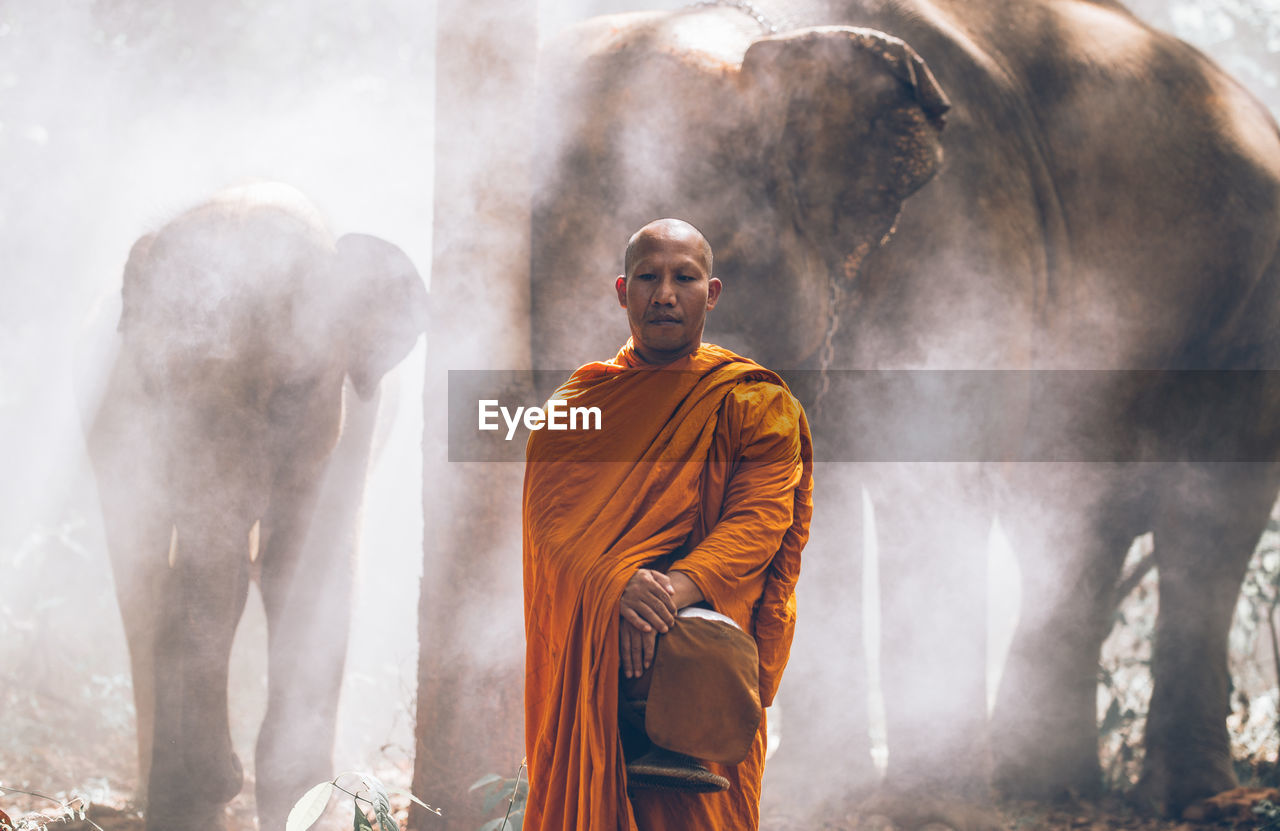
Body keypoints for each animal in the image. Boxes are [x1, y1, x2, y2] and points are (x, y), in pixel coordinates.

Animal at [81, 184, 430, 829]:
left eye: (290, 394)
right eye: (152, 387)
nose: (231, 774)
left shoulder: (350, 427)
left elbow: (300, 575)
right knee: (140, 582)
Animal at [532, 0, 1280, 814]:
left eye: (679, 275)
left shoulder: (964, 251)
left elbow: (930, 487)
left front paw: (919, 810)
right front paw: (820, 790)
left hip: (1249, 309)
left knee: (1207, 516)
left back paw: (1182, 799)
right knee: (1078, 511)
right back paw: (1044, 783)